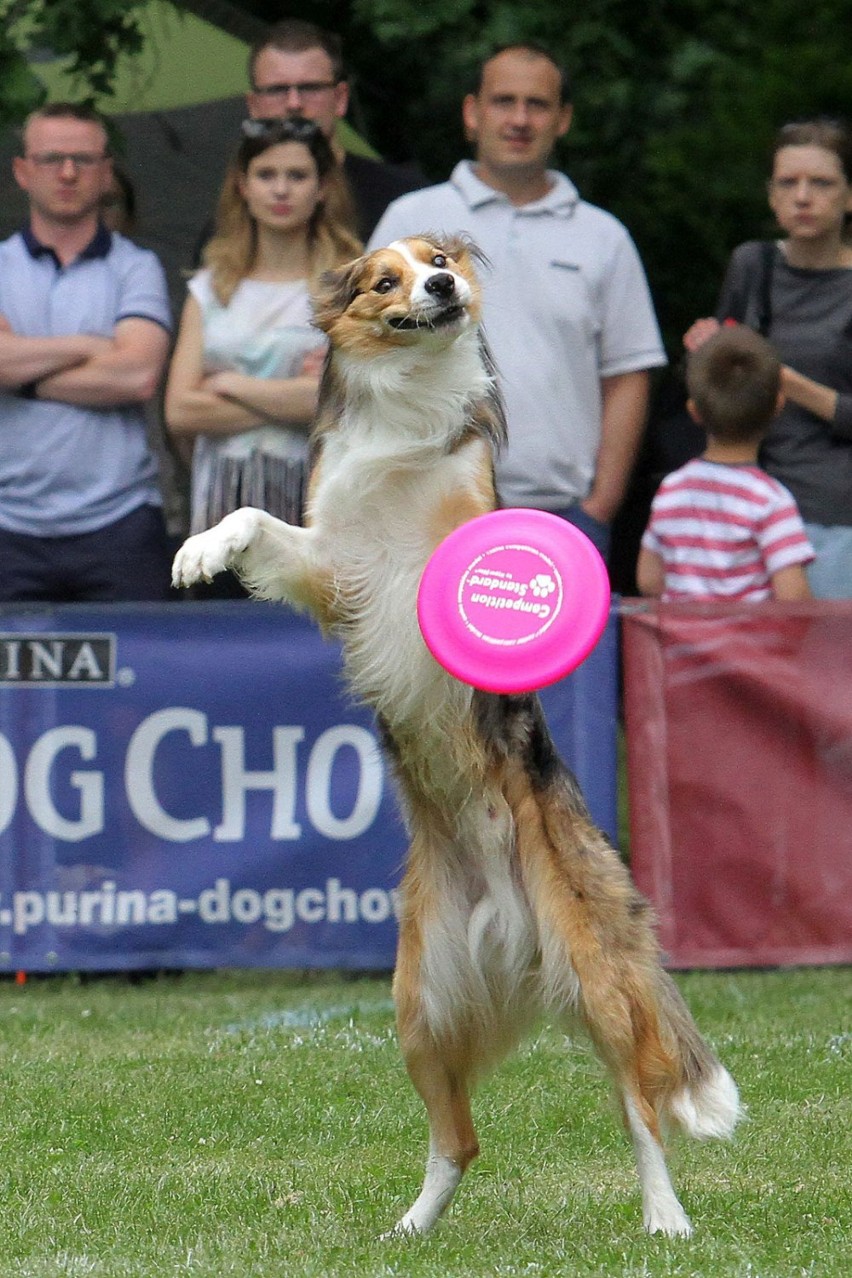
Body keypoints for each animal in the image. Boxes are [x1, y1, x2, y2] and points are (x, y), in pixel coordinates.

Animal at [173, 237, 740, 1237]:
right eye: (384, 280)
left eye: (438, 259)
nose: (442, 285)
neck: (408, 402)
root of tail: (511, 942)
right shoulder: (334, 568)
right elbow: (255, 522)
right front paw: (202, 549)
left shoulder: (450, 527)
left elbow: (472, 562)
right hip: (421, 1008)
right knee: (460, 1141)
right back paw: (409, 1228)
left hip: (597, 977)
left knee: (641, 1110)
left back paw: (665, 1219)